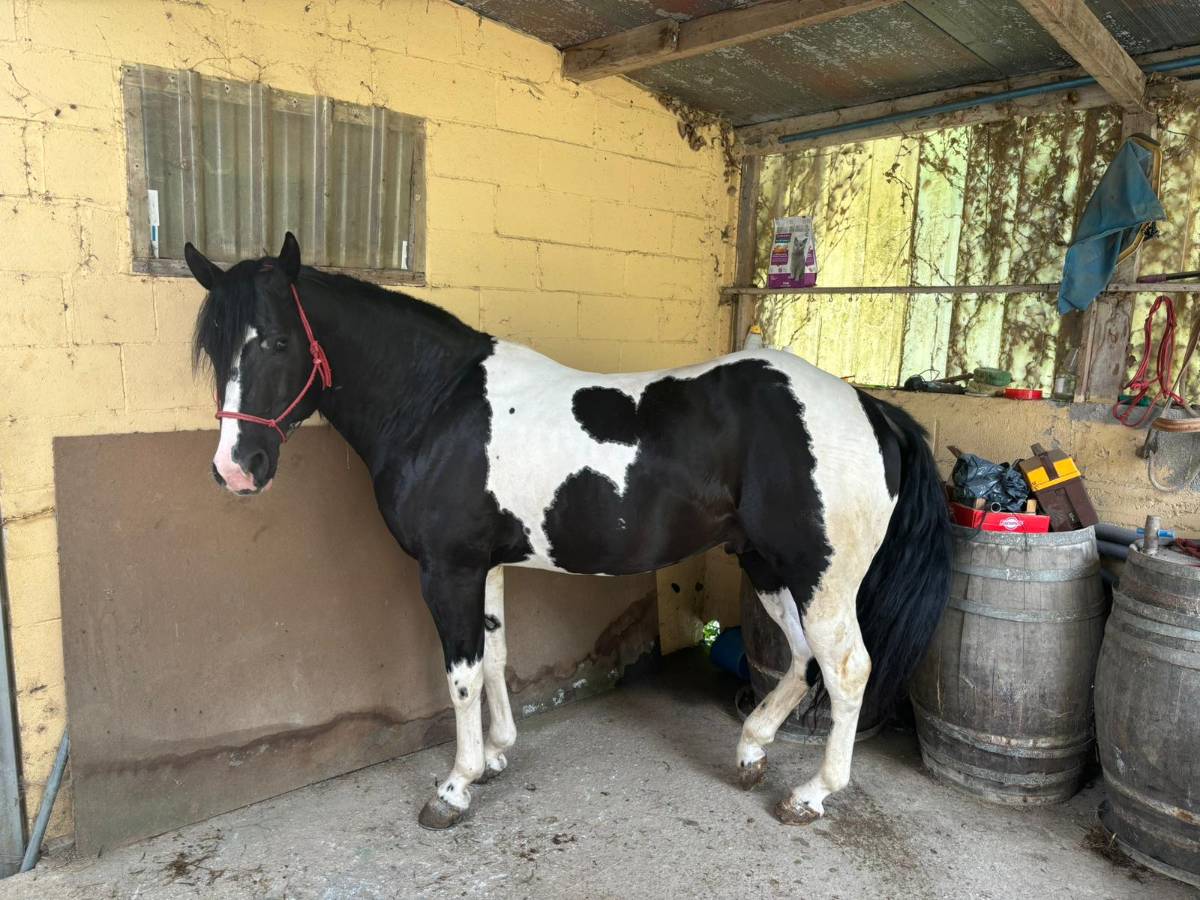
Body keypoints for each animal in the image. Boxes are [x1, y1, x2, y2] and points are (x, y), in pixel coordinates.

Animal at [183, 232, 951, 830]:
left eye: (278, 341)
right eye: (216, 349)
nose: (237, 469)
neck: (436, 406)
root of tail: (870, 408)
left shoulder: (448, 570)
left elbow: (461, 676)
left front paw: (456, 786)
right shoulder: (485, 565)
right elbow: (495, 656)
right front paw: (497, 754)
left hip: (821, 575)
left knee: (846, 669)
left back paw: (813, 794)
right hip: (767, 565)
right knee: (799, 659)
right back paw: (752, 748)